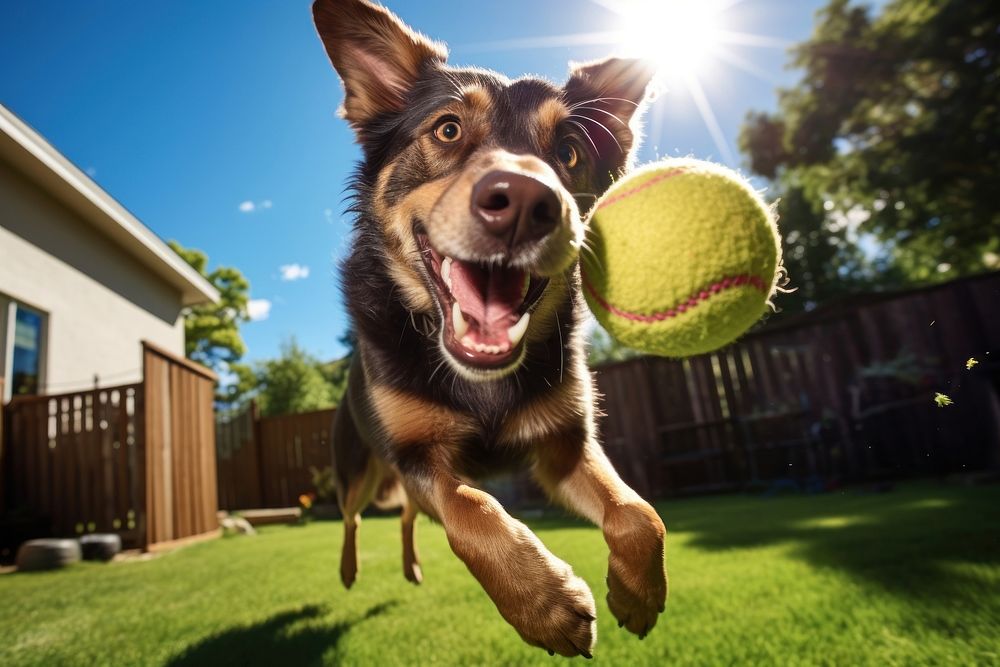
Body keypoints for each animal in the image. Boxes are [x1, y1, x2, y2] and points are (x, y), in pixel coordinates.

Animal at [312, 0, 668, 656]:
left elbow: (639, 514)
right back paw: (349, 571)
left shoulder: (564, 447)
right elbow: (471, 507)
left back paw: (411, 567)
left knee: (405, 516)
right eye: (448, 130)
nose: (527, 202)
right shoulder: (418, 456)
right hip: (357, 463)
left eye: (571, 152)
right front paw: (544, 603)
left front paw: (637, 593)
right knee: (351, 515)